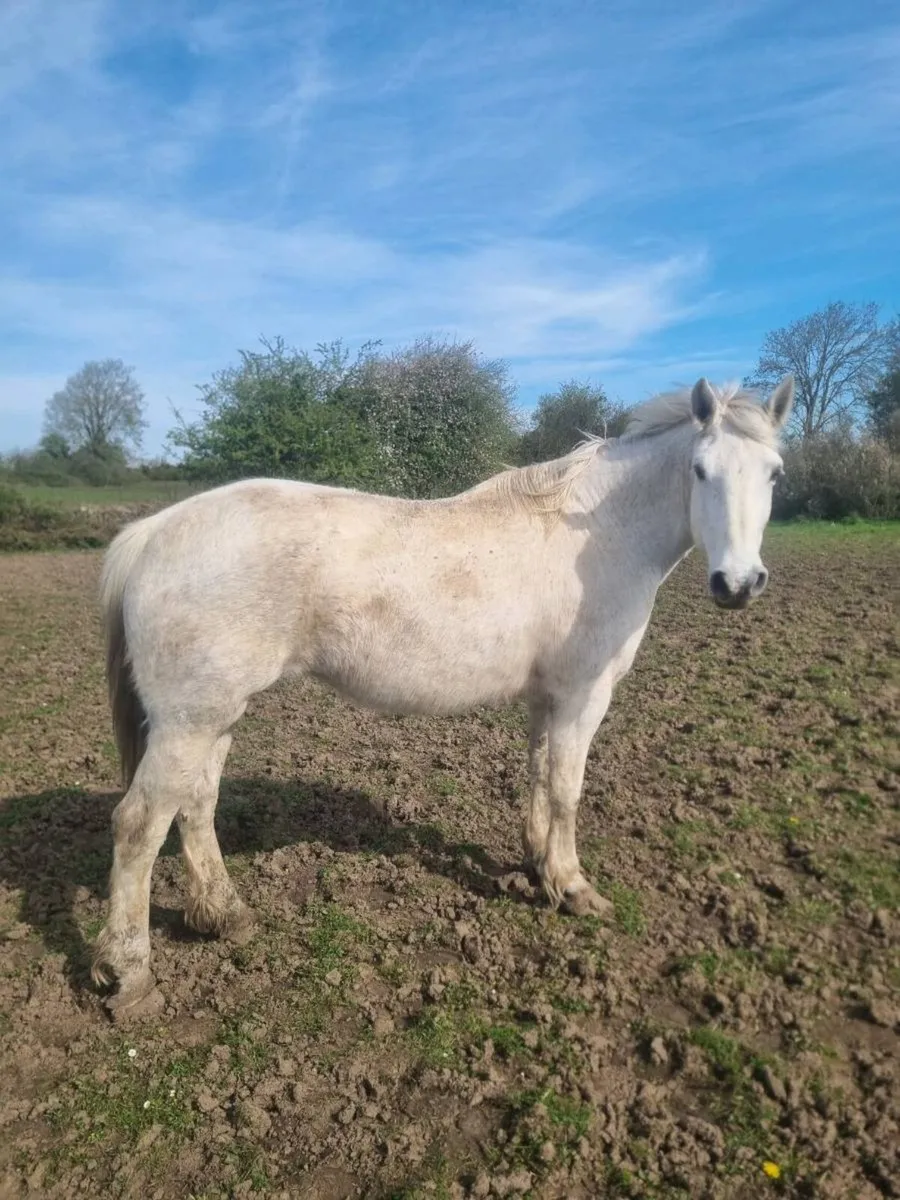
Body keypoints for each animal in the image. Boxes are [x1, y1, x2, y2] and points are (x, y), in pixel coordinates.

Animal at [91, 374, 794, 1016]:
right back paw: (130, 977)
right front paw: (572, 887)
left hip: (214, 716)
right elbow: (567, 791)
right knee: (140, 825)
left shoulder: (545, 700)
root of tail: (155, 532)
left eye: (774, 475)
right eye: (701, 470)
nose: (738, 584)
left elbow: (538, 777)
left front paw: (536, 866)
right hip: (189, 721)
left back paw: (224, 914)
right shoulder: (581, 697)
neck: (595, 537)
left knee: (196, 806)